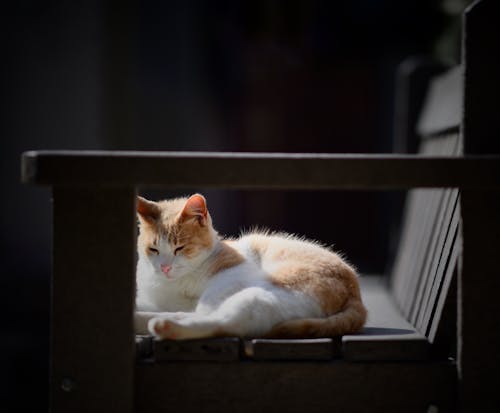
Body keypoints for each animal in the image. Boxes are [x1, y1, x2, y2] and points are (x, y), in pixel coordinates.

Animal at [134, 193, 368, 338]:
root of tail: (356, 294)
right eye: (153, 250)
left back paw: (165, 326)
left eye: (180, 248)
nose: (164, 267)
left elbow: (208, 303)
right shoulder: (156, 301)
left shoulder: (236, 270)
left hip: (263, 293)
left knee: (219, 321)